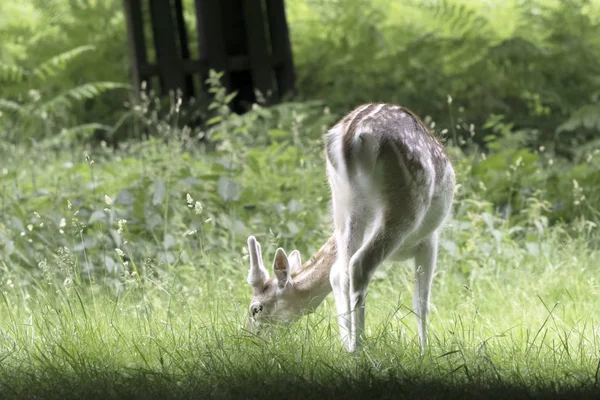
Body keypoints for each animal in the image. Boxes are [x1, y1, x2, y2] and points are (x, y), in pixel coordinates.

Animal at [245, 104, 454, 354]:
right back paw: (359, 345)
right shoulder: (429, 241)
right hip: (404, 206)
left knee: (340, 271)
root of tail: (350, 136)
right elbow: (421, 301)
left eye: (256, 309)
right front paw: (425, 352)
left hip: (342, 202)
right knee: (360, 265)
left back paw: (349, 346)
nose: (248, 339)